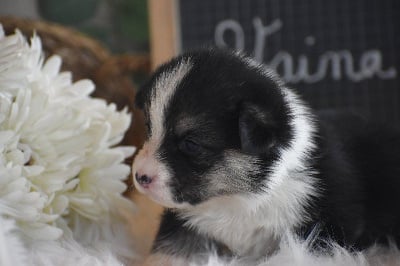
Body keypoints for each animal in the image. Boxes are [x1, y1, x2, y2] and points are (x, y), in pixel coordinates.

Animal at [132, 48, 400, 262]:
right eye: (149, 128)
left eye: (191, 144)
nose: (139, 177)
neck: (238, 199)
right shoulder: (185, 223)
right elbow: (168, 250)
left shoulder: (327, 225)